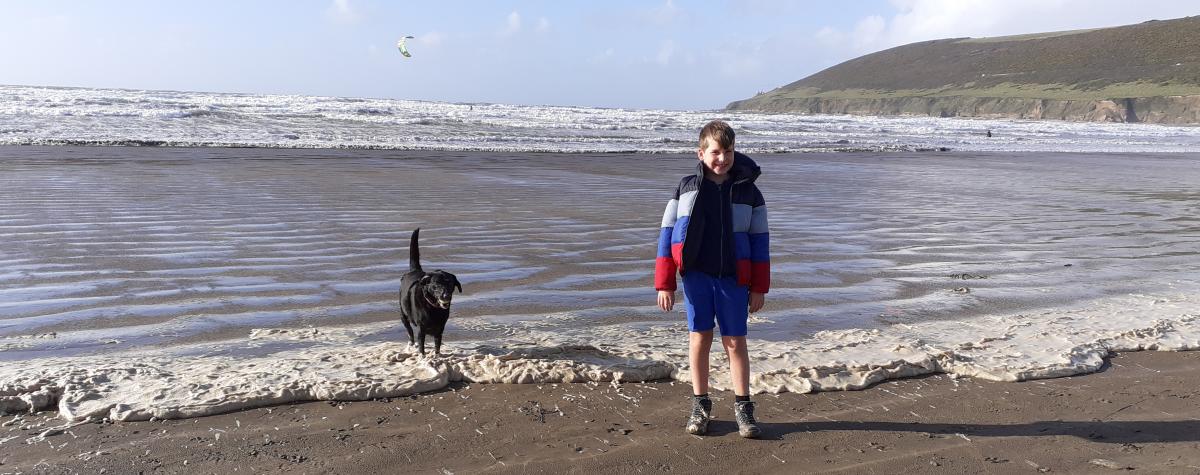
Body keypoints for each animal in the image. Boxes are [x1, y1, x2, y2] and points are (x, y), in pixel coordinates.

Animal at [400, 227, 460, 355]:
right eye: (436, 285)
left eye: (450, 284)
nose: (446, 296)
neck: (434, 308)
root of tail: (414, 270)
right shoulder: (421, 330)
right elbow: (421, 347)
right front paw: (422, 356)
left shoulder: (440, 330)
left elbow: (437, 346)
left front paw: (437, 355)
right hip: (403, 315)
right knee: (409, 331)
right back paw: (411, 343)